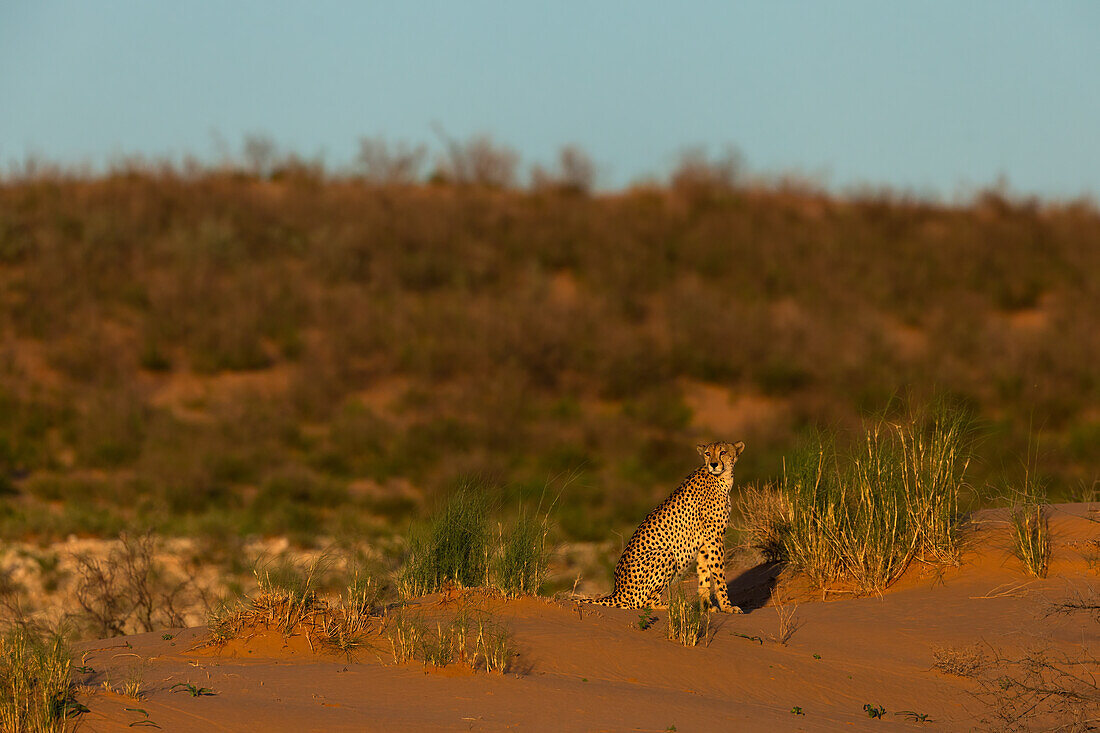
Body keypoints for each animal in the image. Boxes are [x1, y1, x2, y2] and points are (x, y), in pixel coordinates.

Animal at [585, 440, 748, 611]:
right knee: (645, 603)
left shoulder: (705, 542)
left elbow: (704, 574)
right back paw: (676, 605)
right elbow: (719, 573)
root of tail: (617, 591)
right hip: (666, 554)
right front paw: (727, 607)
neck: (722, 478)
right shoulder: (714, 537)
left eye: (723, 452)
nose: (714, 464)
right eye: (708, 454)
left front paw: (707, 608)